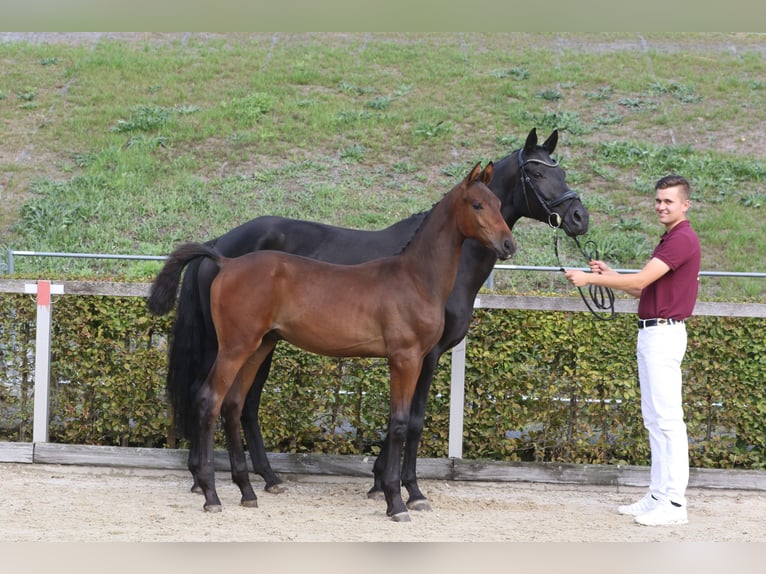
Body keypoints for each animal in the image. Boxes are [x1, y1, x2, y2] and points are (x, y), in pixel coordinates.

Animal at [150, 127, 592, 512]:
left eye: (501, 204)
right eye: (536, 173)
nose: (578, 218)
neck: (417, 275)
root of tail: (222, 256)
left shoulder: (420, 357)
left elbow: (405, 421)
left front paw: (388, 487)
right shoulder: (411, 357)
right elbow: (405, 422)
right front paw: (400, 496)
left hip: (261, 345)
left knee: (236, 403)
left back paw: (250, 487)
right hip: (233, 345)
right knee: (208, 398)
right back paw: (211, 491)